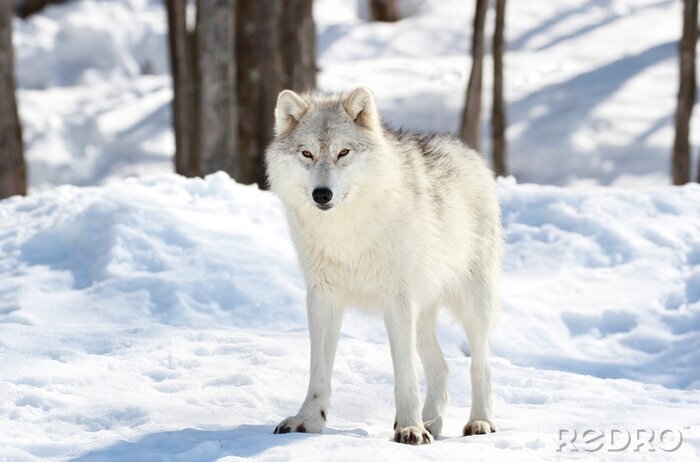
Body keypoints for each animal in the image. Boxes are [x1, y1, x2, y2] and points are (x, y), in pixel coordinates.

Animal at [265, 87, 502, 445]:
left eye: (343, 152)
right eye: (307, 153)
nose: (322, 194)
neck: (345, 233)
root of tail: (469, 153)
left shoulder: (398, 301)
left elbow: (405, 375)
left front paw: (409, 428)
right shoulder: (322, 298)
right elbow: (318, 371)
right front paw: (307, 421)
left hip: (471, 305)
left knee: (481, 365)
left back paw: (479, 423)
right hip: (423, 316)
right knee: (441, 368)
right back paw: (432, 422)